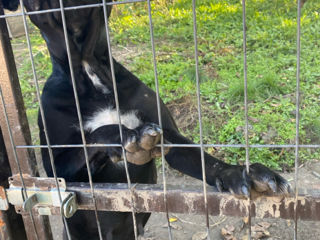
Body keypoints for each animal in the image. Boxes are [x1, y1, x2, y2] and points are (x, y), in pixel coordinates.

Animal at [5, 0, 292, 239]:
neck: (91, 71)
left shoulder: (172, 139)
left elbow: (207, 161)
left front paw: (239, 173)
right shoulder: (57, 170)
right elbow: (95, 136)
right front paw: (124, 135)